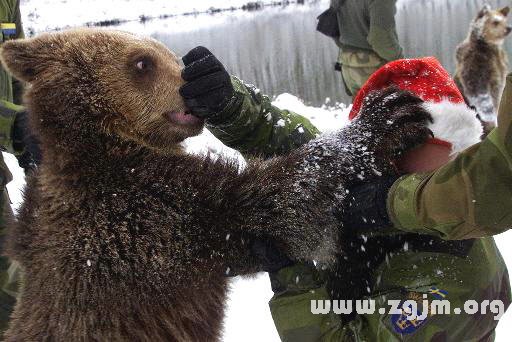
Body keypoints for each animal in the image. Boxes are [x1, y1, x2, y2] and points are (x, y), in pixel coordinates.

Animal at [0, 30, 432, 342]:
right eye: (142, 62)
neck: (107, 145)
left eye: (173, 56)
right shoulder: (141, 221)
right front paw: (383, 120)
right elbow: (275, 202)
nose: (187, 87)